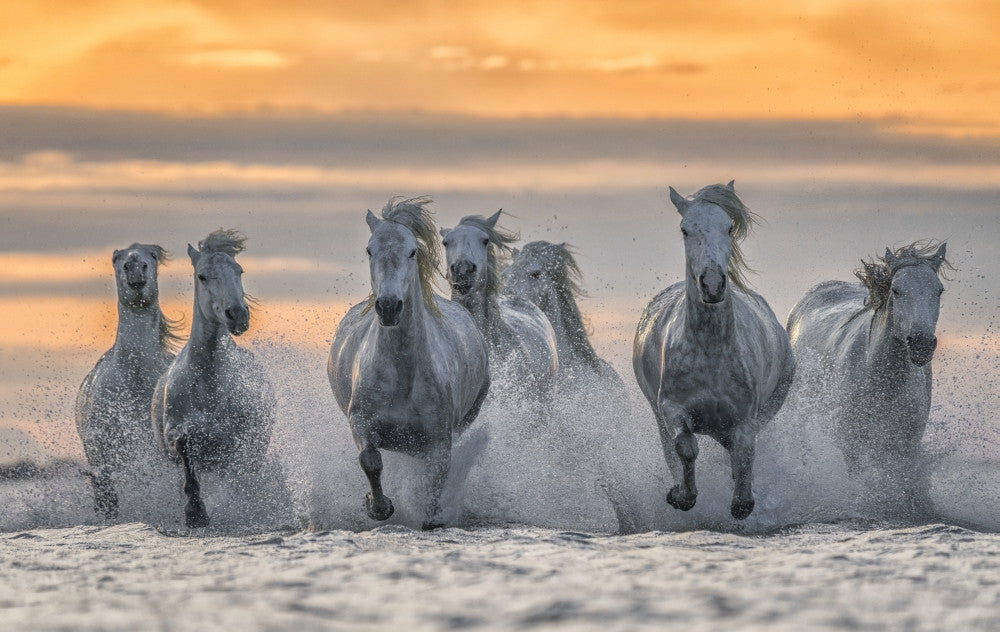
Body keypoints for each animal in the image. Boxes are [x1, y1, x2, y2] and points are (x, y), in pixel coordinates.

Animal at [75, 243, 180, 520]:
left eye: (151, 257)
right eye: (117, 260)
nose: (135, 272)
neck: (135, 377)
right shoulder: (100, 451)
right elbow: (108, 497)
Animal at [151, 229, 276, 528]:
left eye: (239, 271)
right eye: (202, 276)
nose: (238, 316)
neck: (209, 382)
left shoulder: (236, 442)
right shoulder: (175, 434)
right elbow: (184, 444)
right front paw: (195, 512)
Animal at [328, 197, 490, 529]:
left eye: (413, 251)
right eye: (370, 250)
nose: (389, 307)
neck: (402, 374)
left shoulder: (439, 438)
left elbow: (436, 477)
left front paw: (430, 517)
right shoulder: (360, 421)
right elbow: (370, 460)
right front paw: (378, 507)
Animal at [633, 181, 794, 520]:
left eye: (729, 227)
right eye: (685, 229)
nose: (712, 284)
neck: (710, 352)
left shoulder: (745, 419)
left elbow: (743, 456)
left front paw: (742, 500)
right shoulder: (671, 408)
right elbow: (685, 448)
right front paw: (681, 496)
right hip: (657, 414)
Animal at [786, 241, 949, 516]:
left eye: (939, 290)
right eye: (896, 290)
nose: (922, 344)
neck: (881, 380)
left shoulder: (906, 440)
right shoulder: (851, 440)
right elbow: (862, 480)